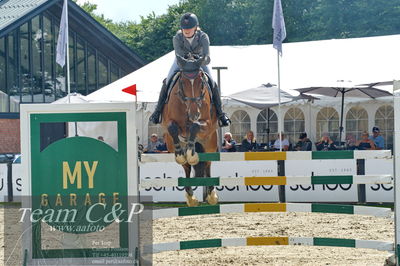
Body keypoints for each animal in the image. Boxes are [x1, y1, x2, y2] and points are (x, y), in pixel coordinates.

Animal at [160, 63, 219, 207]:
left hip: (210, 142)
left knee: (208, 163)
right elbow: (172, 128)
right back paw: (190, 196)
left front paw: (192, 155)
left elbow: (195, 125)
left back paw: (211, 195)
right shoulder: (169, 123)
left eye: (201, 83)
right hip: (170, 145)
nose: (194, 114)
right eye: (183, 82)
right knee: (186, 167)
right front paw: (183, 155)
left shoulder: (207, 123)